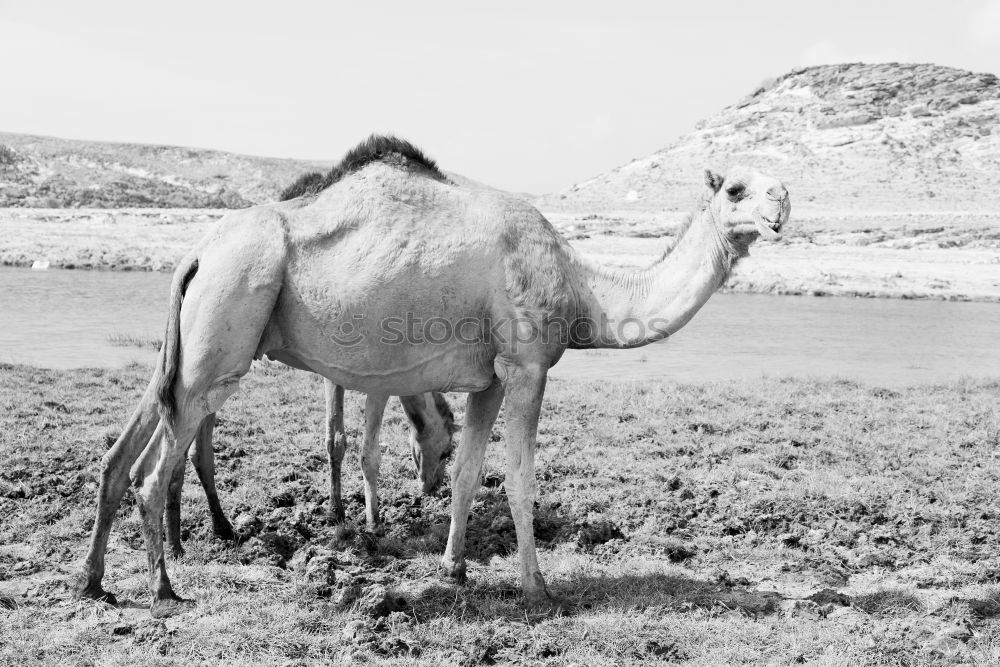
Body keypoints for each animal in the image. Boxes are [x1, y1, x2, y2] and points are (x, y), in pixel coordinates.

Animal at [162, 378, 458, 556]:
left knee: (197, 450)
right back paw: (180, 542)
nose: (433, 486)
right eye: (447, 451)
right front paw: (373, 523)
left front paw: (335, 511)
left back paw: (218, 528)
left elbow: (335, 440)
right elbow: (363, 452)